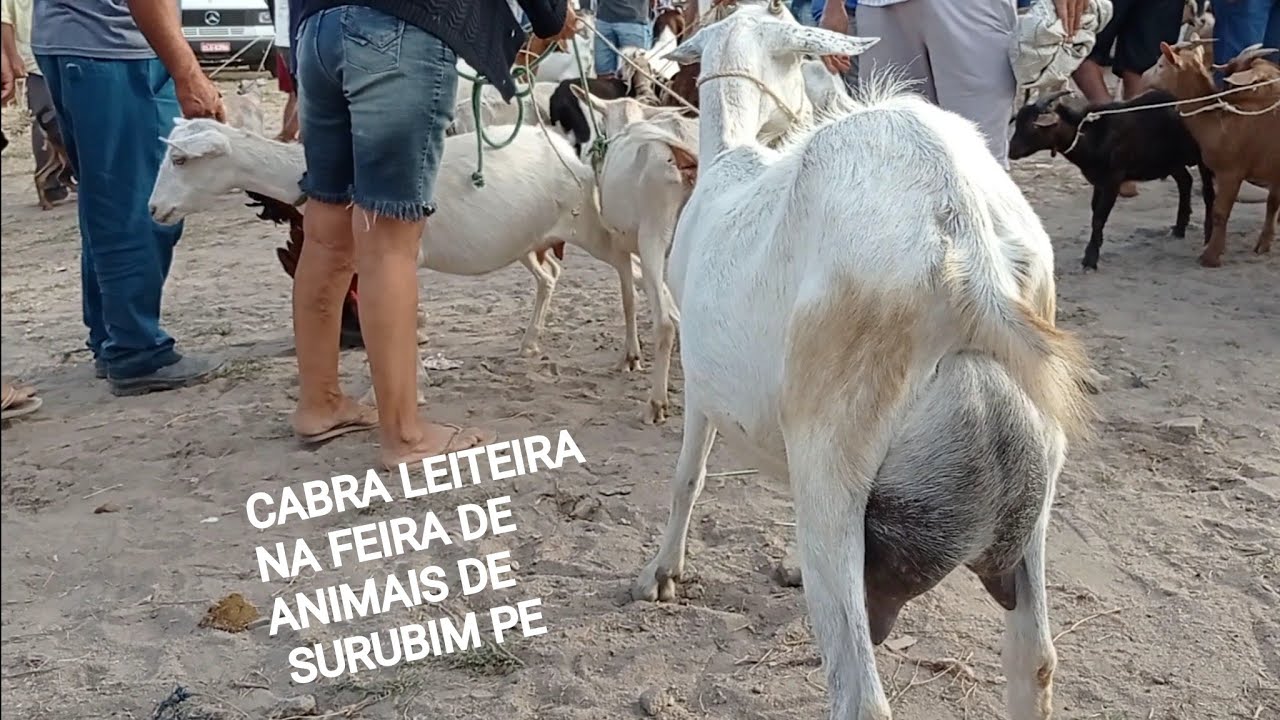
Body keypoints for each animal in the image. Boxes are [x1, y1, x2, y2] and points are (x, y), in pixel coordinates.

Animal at [635, 6, 1095, 720]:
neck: (732, 160)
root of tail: (965, 239)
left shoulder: (702, 386)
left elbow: (689, 476)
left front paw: (663, 573)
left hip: (835, 454)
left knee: (863, 696)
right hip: (1037, 485)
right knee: (1036, 660)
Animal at [1008, 89, 1215, 270]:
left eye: (1033, 125)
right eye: (1017, 122)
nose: (1012, 151)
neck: (1091, 135)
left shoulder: (1113, 181)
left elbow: (1099, 217)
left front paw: (1090, 259)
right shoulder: (1099, 181)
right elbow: (1095, 212)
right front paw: (1096, 245)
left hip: (1203, 158)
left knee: (1208, 193)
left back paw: (1208, 237)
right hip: (1171, 161)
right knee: (1185, 182)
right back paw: (1179, 229)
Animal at [1144, 41, 1280, 266]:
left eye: (1161, 65)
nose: (1143, 77)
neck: (1218, 121)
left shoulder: (1230, 173)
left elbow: (1220, 212)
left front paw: (1210, 256)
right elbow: (1272, 204)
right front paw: (1263, 245)